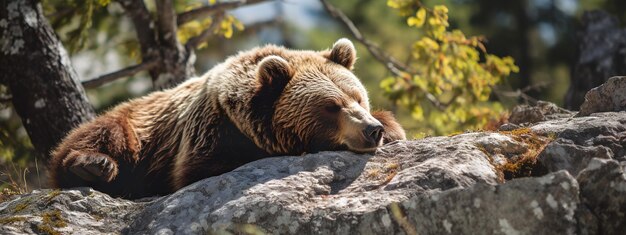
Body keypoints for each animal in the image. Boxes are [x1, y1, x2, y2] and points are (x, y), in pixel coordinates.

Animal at [51, 38, 408, 198]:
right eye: (331, 106)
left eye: (358, 97)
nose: (371, 131)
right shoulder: (209, 133)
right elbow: (200, 170)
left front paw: (391, 129)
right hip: (140, 126)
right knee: (104, 132)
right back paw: (93, 165)